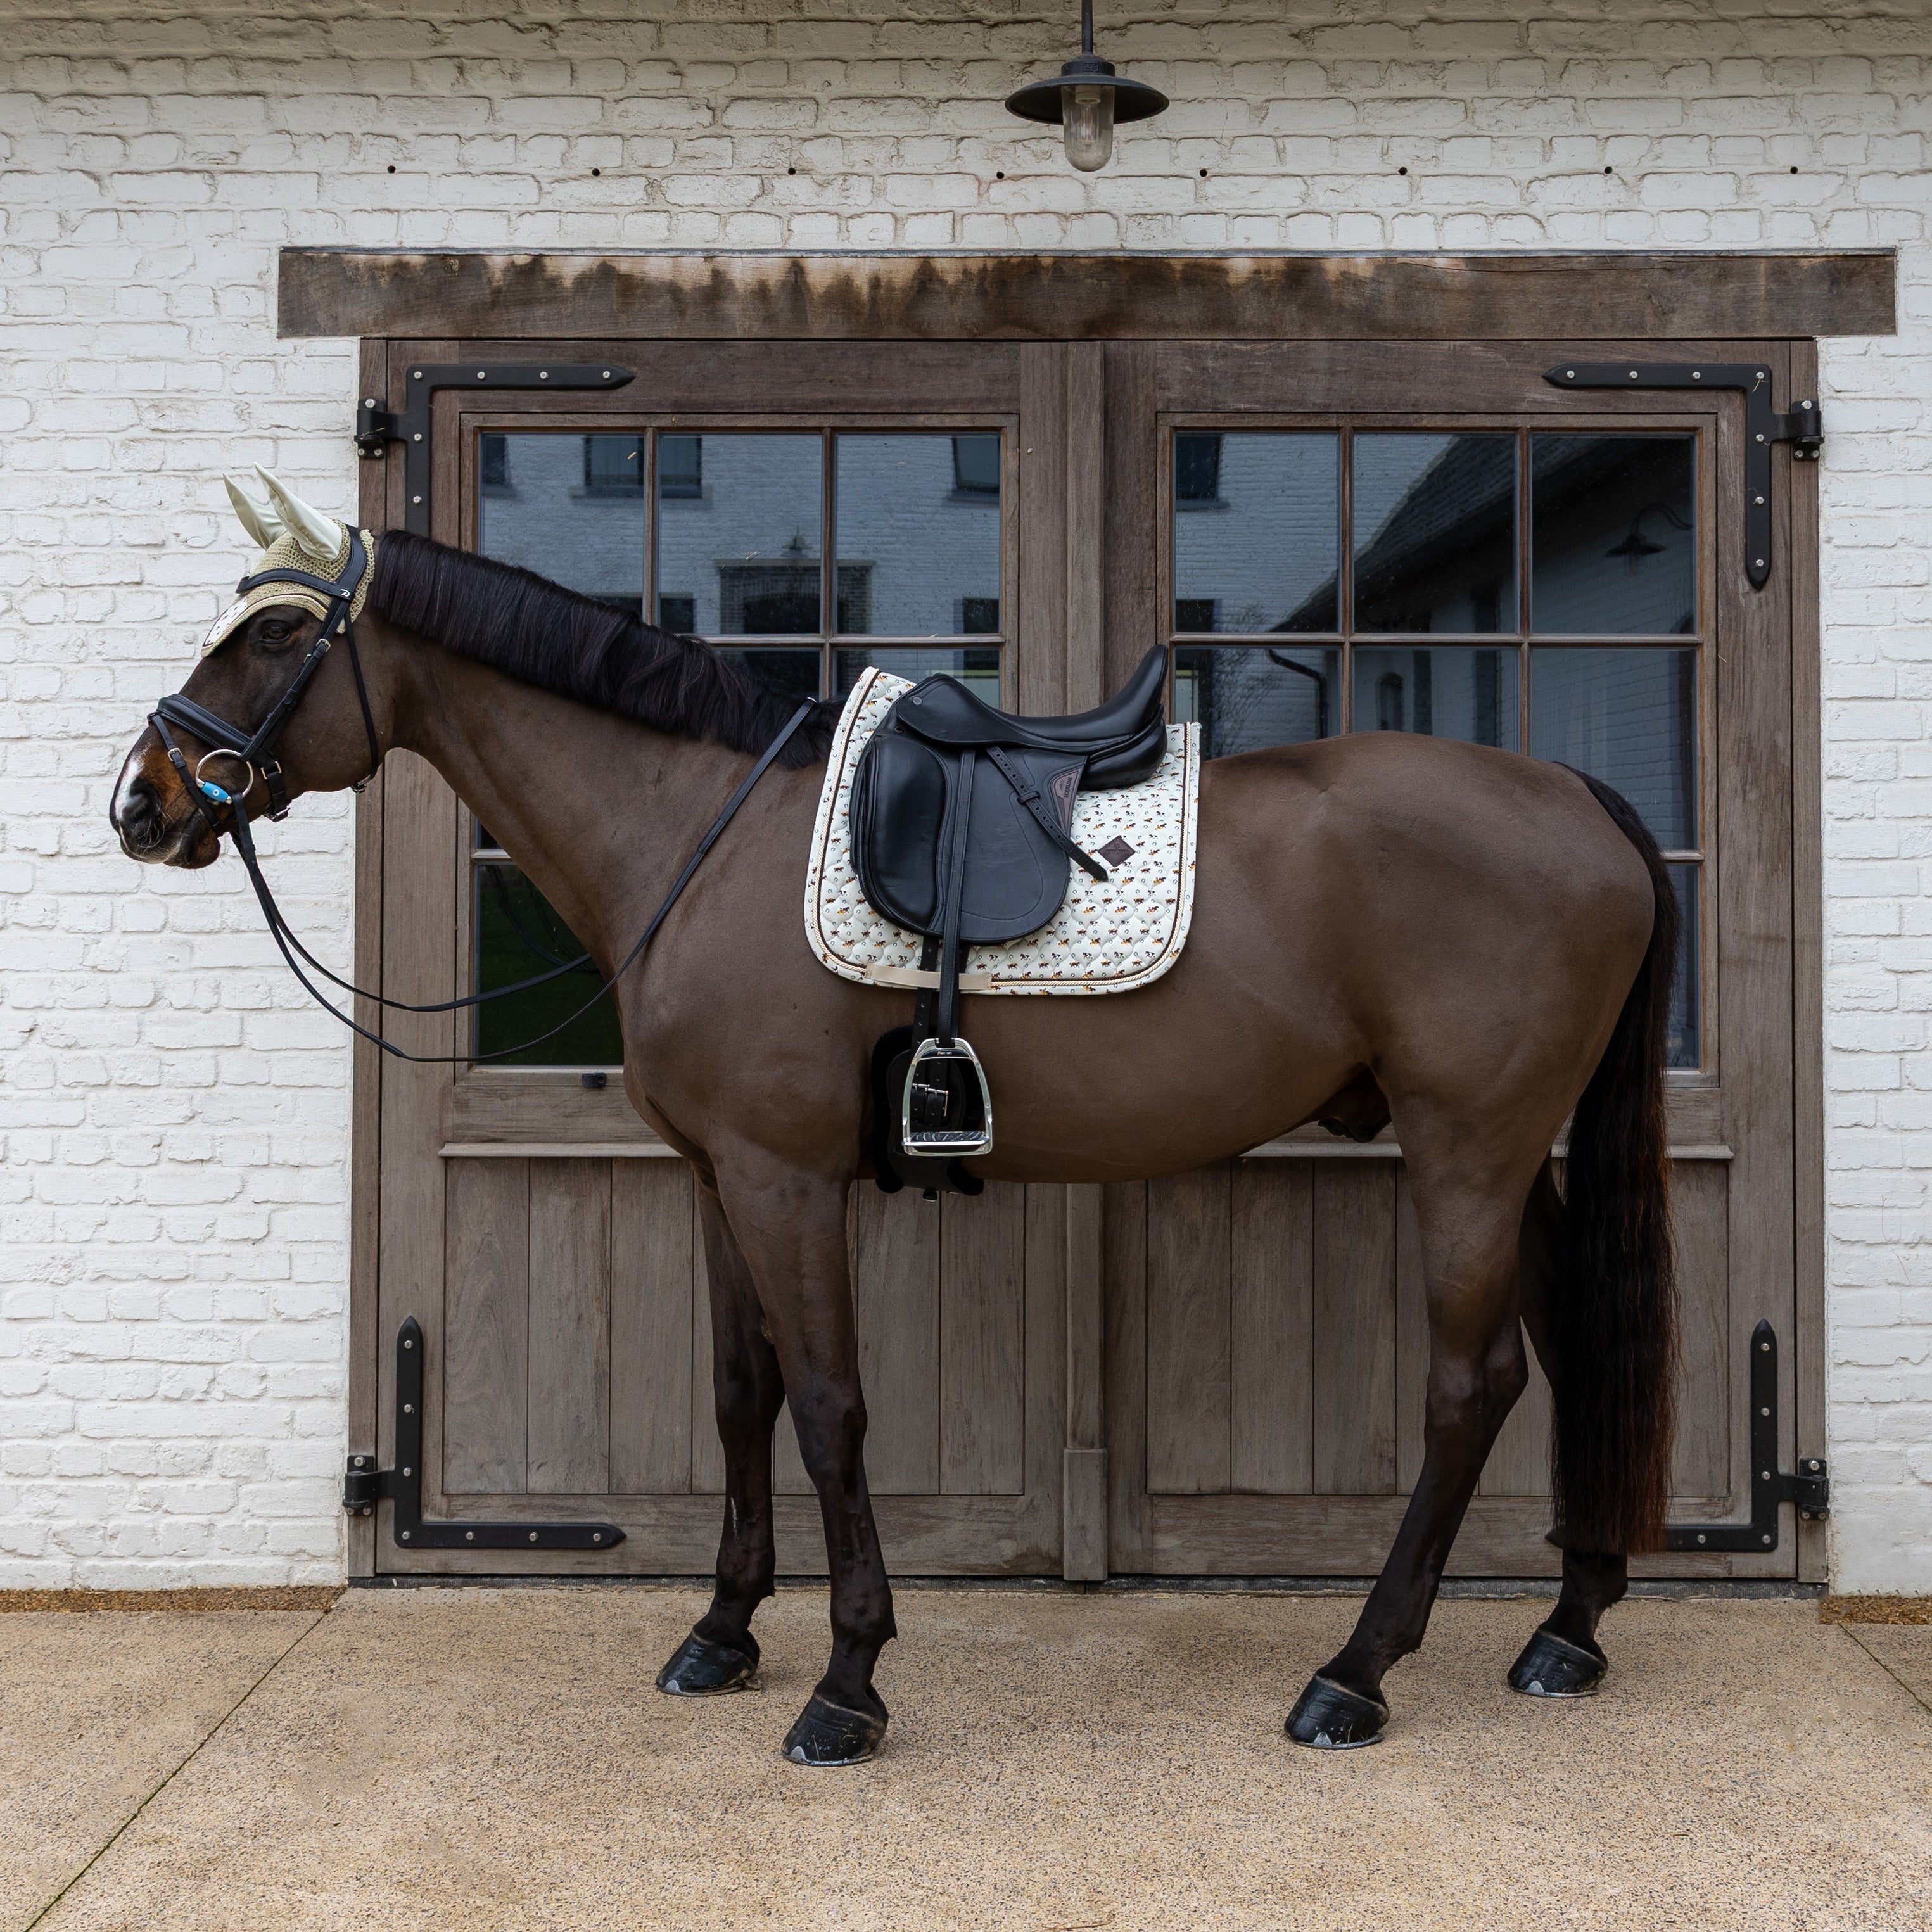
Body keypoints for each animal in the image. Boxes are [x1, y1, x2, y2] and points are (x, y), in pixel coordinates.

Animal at [111, 471, 1678, 1765]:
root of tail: (1578, 798)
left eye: (270, 638)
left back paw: (1355, 1671)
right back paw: (1568, 1626)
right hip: (1517, 1151)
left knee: (1472, 1383)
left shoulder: (787, 1180)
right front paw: (722, 1633)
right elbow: (741, 1395)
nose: (143, 798)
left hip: (1467, 1147)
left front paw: (846, 1681)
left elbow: (828, 1406)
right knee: (1573, 1340)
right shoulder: (715, 1178)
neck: (700, 829)